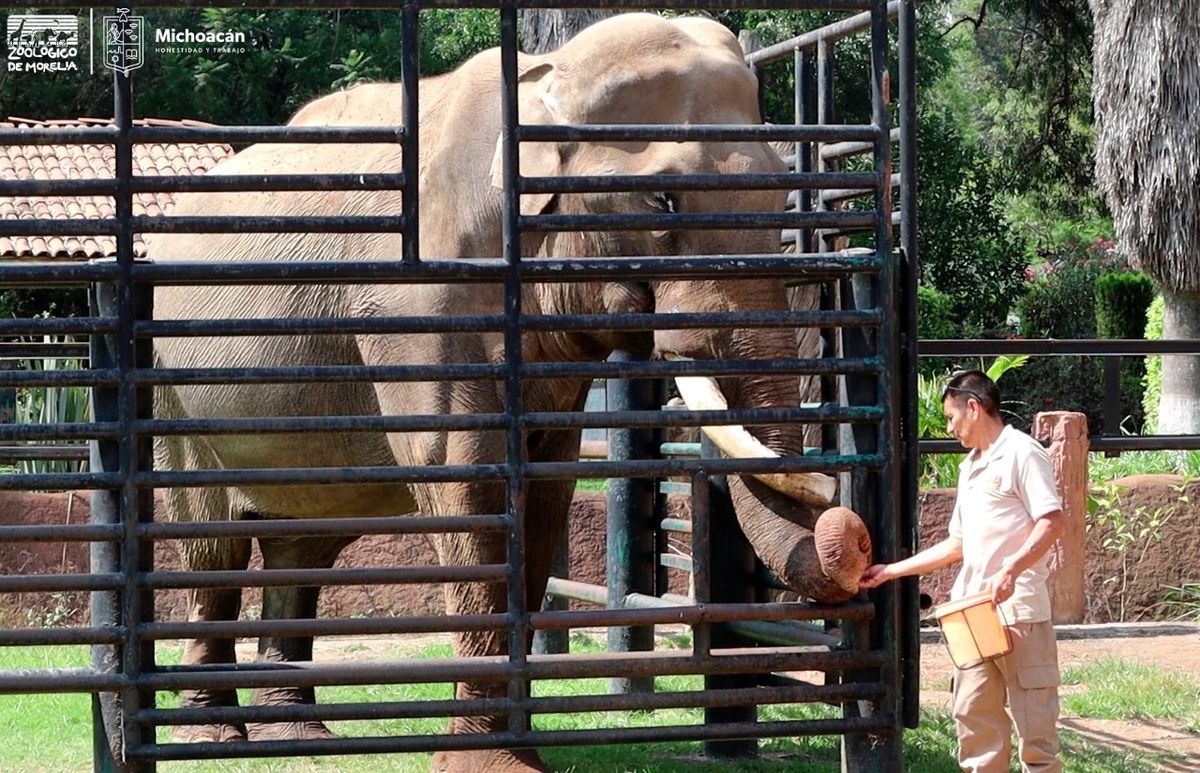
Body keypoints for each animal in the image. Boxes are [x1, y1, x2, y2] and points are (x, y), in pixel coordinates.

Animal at [150, 13, 873, 773]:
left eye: (779, 195)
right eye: (663, 199)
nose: (849, 526)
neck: (543, 79)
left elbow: (547, 488)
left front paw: (516, 748)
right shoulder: (429, 300)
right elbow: (466, 479)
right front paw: (490, 761)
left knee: (305, 539)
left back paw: (299, 736)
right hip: (174, 390)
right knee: (212, 542)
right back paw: (211, 736)